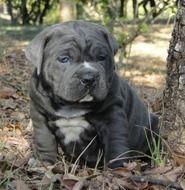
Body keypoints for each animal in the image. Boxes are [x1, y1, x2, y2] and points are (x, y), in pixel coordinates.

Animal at [26, 20, 159, 168]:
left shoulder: (112, 114)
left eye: (101, 57)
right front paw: (44, 163)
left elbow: (116, 141)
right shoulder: (39, 114)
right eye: (64, 59)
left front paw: (117, 167)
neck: (71, 105)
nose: (89, 78)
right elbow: (44, 140)